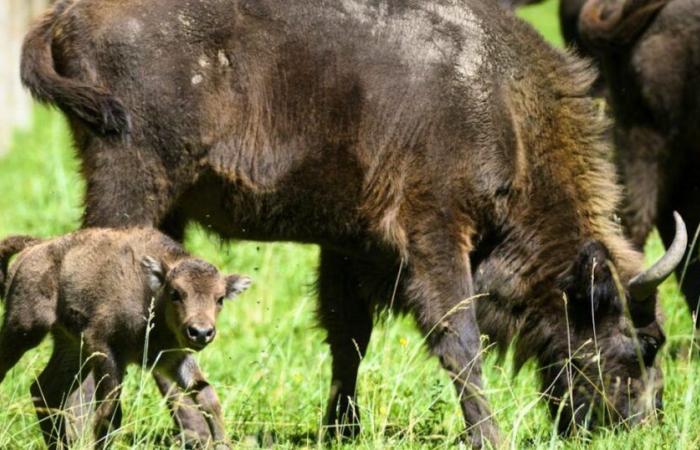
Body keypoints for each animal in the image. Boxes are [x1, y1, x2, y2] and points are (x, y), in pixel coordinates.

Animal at [0, 230, 252, 448]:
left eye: (220, 298)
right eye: (175, 293)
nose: (200, 332)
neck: (151, 296)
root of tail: (35, 247)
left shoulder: (172, 359)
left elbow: (208, 398)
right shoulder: (106, 350)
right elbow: (110, 414)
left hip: (71, 347)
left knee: (44, 389)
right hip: (24, 330)